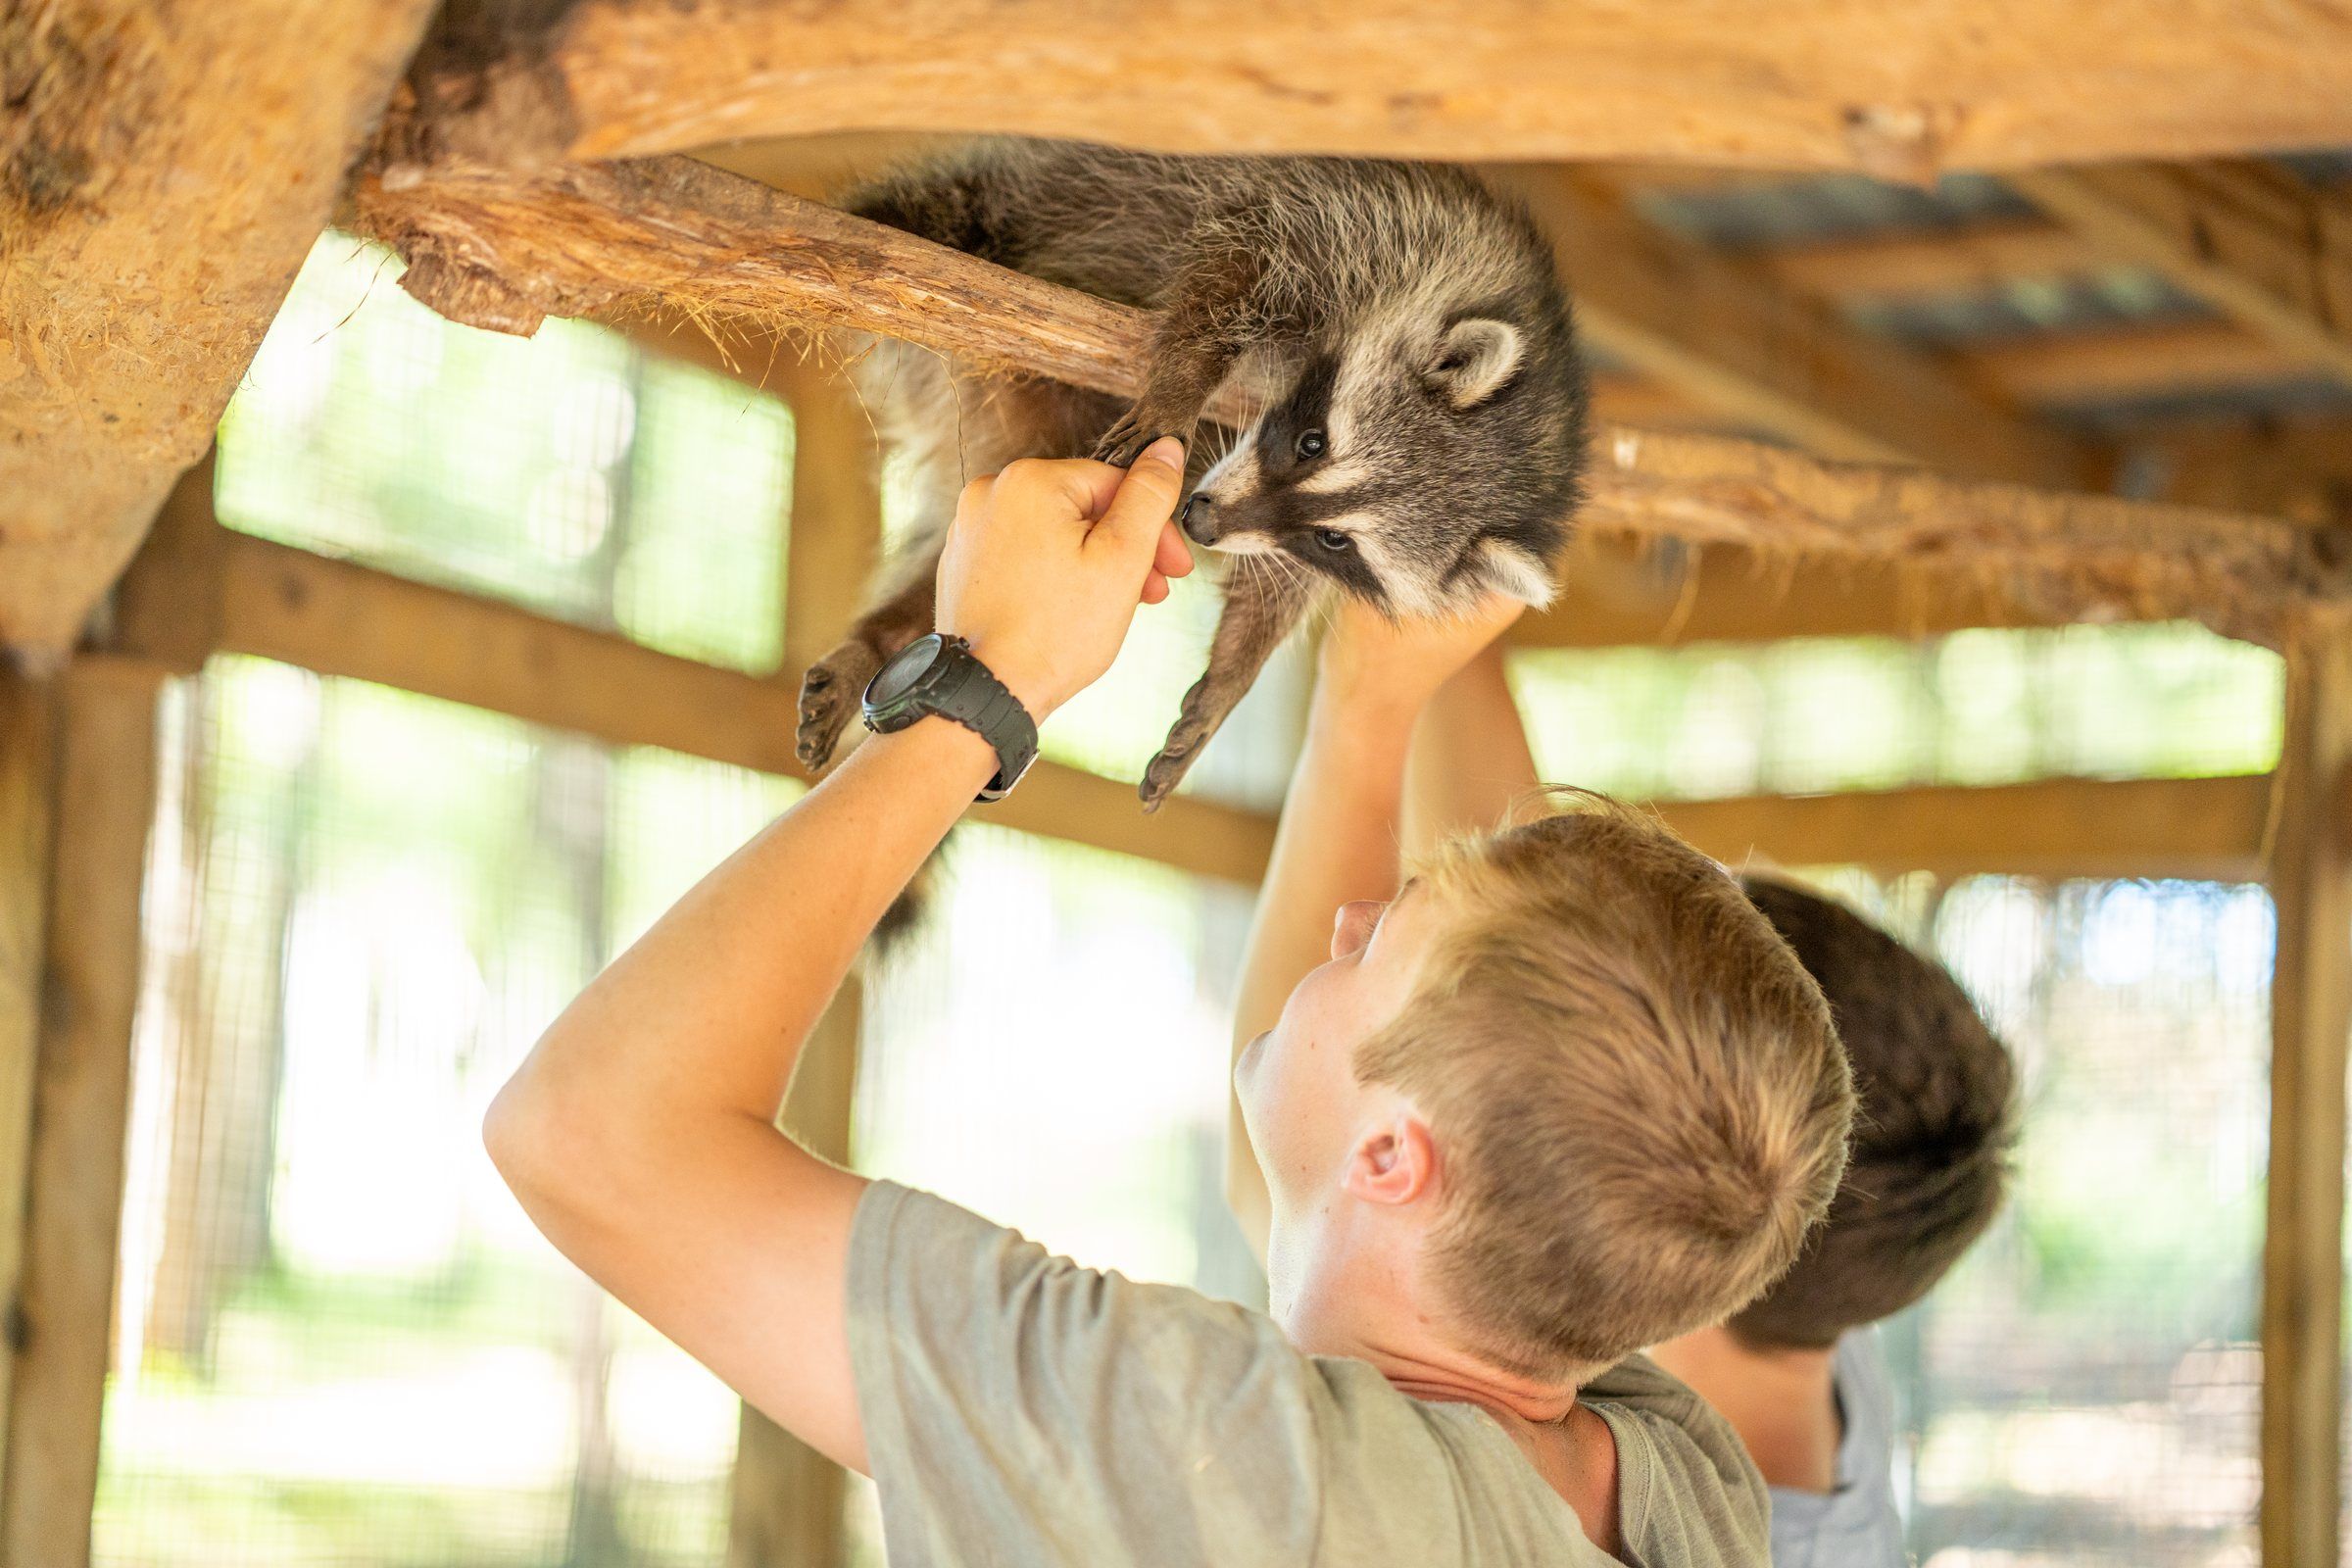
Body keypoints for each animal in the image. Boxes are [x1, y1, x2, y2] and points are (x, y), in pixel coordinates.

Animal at [794, 139, 1588, 809]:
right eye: (1312, 442)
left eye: (1336, 541)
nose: (1200, 521)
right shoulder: (1354, 222)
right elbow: (1238, 258)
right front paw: (1184, 380)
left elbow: (1274, 579)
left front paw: (1234, 669)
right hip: (1024, 195)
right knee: (968, 197)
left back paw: (885, 633)